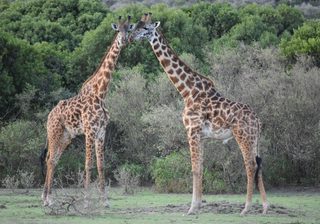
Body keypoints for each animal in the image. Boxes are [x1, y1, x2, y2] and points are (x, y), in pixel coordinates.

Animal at [41, 16, 134, 207]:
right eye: (118, 30)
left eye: (129, 28)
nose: (125, 40)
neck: (101, 92)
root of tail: (49, 115)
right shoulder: (90, 131)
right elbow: (88, 164)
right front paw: (86, 201)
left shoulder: (101, 132)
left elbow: (101, 166)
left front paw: (105, 201)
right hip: (54, 132)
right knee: (50, 159)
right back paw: (48, 199)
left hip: (66, 136)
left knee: (53, 159)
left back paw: (46, 197)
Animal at [129, 13, 268, 215]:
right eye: (136, 25)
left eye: (146, 28)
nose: (131, 37)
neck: (186, 90)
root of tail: (257, 121)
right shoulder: (201, 136)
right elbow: (200, 168)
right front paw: (199, 205)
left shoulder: (192, 130)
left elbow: (194, 169)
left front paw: (192, 208)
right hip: (255, 139)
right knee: (259, 164)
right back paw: (265, 207)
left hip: (243, 136)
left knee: (250, 165)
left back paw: (246, 208)